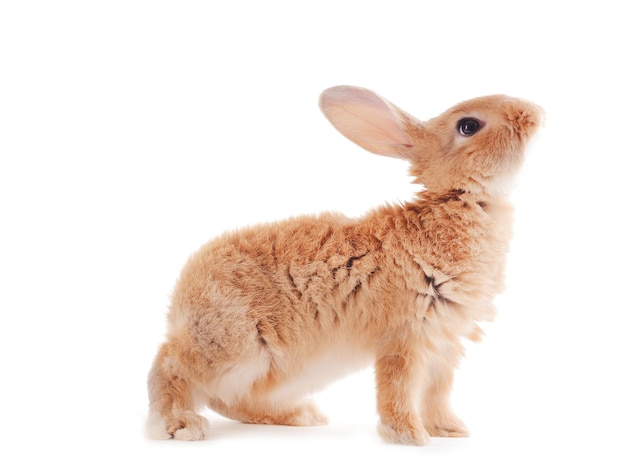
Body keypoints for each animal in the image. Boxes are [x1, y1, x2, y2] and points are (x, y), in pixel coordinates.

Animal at [146, 83, 540, 444]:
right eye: (469, 126)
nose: (533, 112)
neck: (460, 200)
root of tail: (180, 300)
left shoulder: (444, 343)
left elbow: (437, 392)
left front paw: (450, 430)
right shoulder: (405, 336)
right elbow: (397, 387)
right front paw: (409, 436)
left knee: (229, 400)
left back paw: (301, 416)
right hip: (235, 348)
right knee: (171, 365)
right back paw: (176, 424)